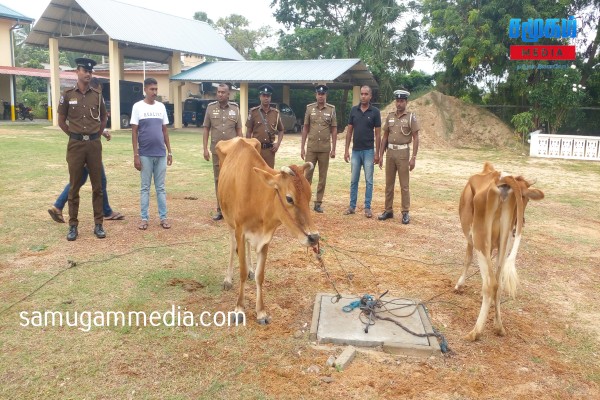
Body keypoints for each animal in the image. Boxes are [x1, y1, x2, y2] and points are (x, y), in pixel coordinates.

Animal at [214, 138, 318, 324]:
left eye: (309, 195)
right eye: (289, 198)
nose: (314, 237)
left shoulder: (265, 238)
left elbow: (260, 275)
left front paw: (261, 312)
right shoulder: (240, 230)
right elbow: (241, 271)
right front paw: (239, 308)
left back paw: (250, 269)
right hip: (228, 220)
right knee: (233, 246)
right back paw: (228, 279)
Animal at [454, 162, 544, 340]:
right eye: (525, 198)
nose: (521, 221)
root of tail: (502, 177)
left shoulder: (471, 238)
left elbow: (467, 258)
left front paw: (459, 285)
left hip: (480, 236)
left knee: (490, 283)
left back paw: (475, 332)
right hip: (505, 241)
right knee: (498, 283)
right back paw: (499, 327)